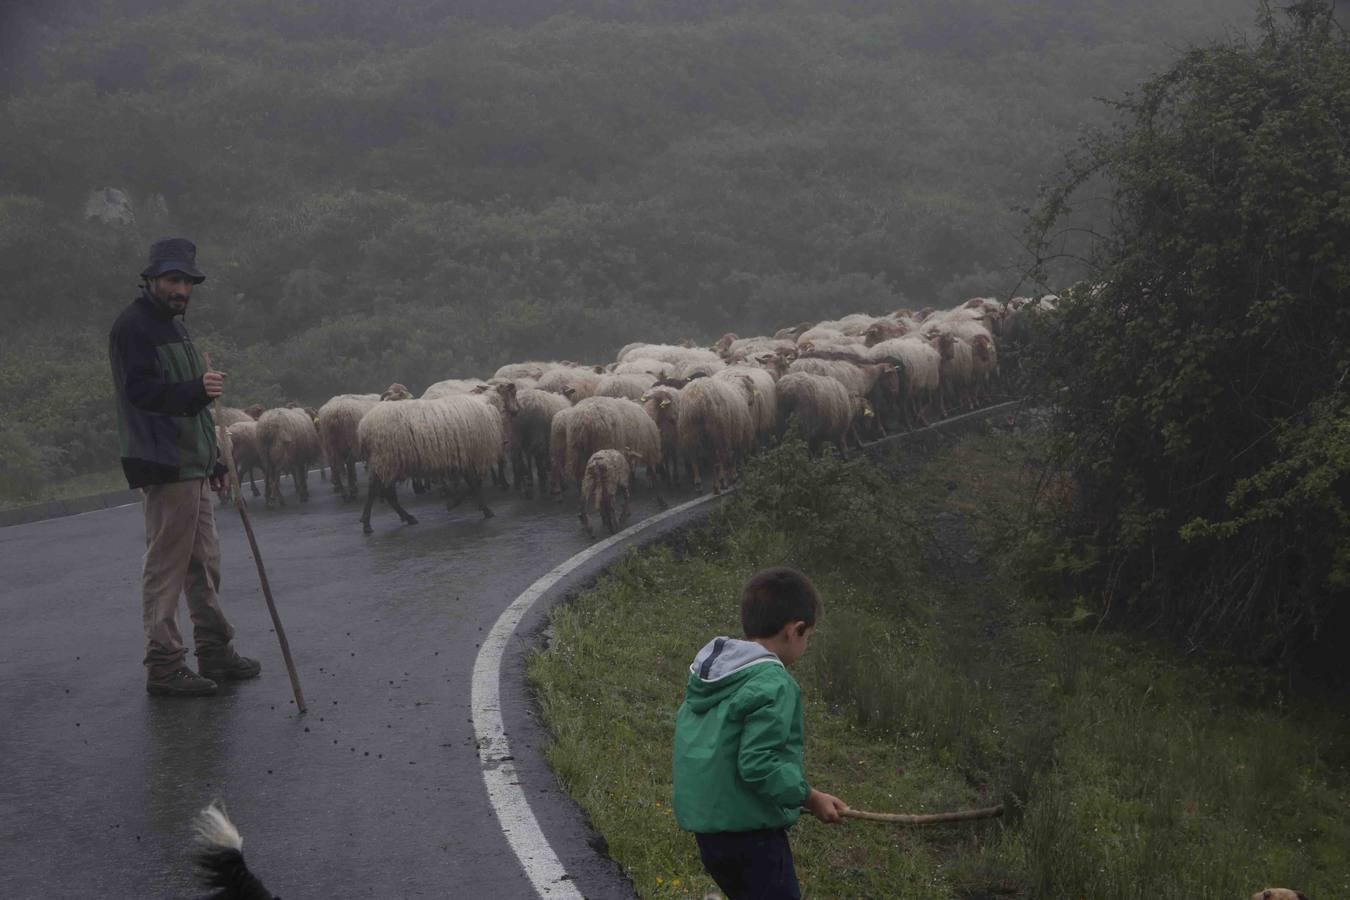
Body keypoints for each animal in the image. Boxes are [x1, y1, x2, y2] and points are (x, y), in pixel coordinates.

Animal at [356, 396, 504, 534]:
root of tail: (364, 427)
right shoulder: (467, 456)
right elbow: (474, 484)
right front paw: (484, 510)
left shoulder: (463, 458)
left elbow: (472, 484)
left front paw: (456, 503)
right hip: (387, 461)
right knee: (380, 492)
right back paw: (370, 524)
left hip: (386, 463)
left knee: (383, 492)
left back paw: (403, 518)